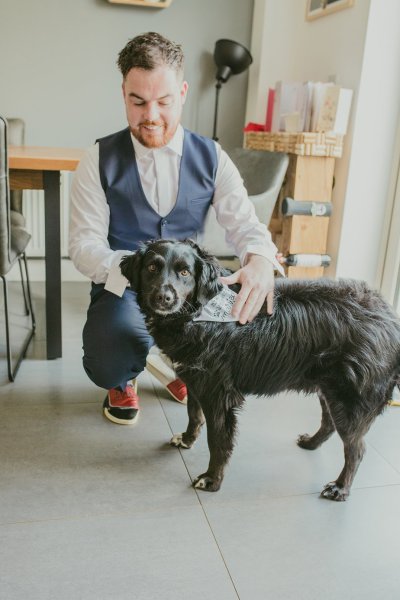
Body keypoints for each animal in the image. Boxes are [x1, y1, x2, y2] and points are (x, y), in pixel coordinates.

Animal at [120, 239, 400, 502]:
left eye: (185, 272)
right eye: (152, 267)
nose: (164, 298)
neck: (198, 314)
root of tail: (390, 318)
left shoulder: (219, 395)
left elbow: (218, 441)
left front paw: (212, 479)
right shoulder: (195, 380)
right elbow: (193, 415)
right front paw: (188, 440)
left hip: (349, 400)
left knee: (356, 449)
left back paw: (340, 488)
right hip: (329, 390)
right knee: (329, 423)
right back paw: (311, 444)